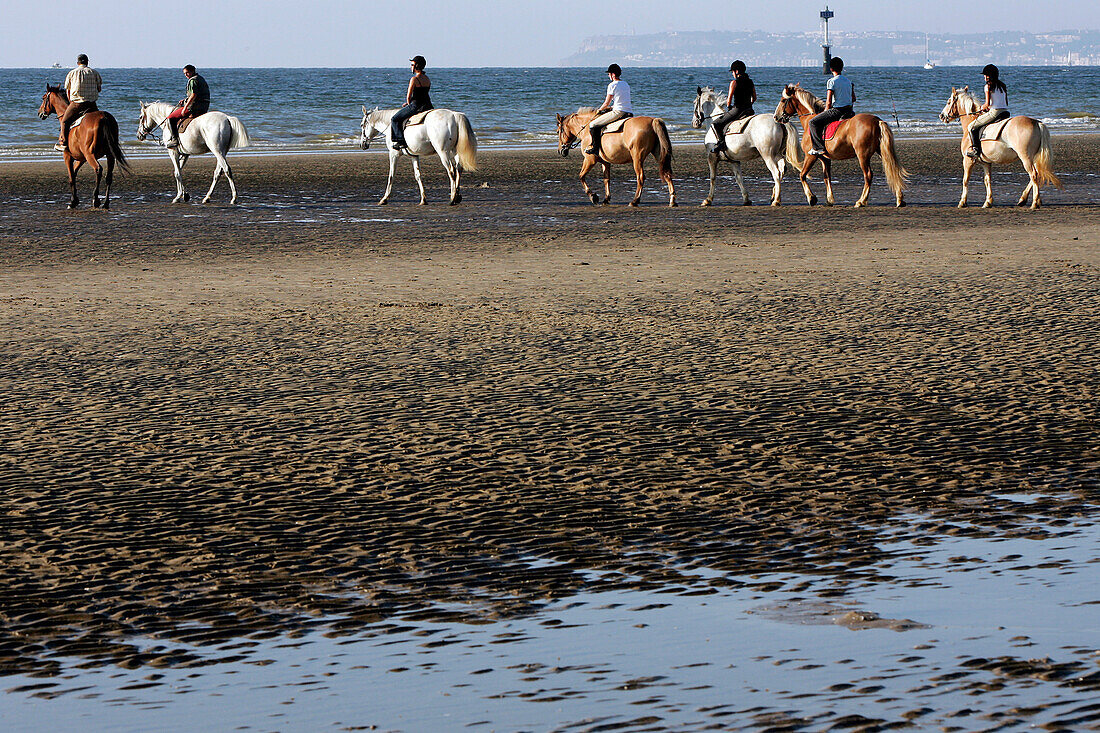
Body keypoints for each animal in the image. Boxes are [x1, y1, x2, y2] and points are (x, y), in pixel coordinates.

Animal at [770, 84, 906, 208]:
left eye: (783, 100)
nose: (776, 117)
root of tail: (877, 121)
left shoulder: (811, 156)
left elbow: (802, 175)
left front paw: (811, 198)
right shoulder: (825, 159)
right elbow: (826, 177)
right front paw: (829, 199)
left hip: (862, 155)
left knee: (868, 175)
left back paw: (861, 201)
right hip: (881, 151)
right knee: (893, 168)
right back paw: (900, 199)